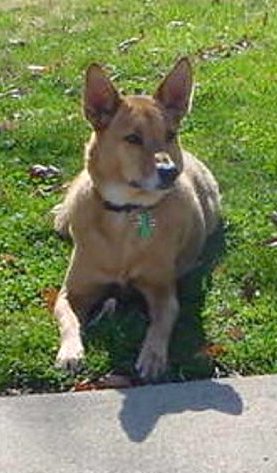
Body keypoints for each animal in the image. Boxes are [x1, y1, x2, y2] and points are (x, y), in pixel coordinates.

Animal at [52, 56, 219, 380]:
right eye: (132, 138)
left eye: (170, 135)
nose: (170, 171)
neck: (127, 213)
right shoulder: (72, 292)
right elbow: (68, 318)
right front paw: (70, 351)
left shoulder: (162, 292)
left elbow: (162, 323)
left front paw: (152, 355)